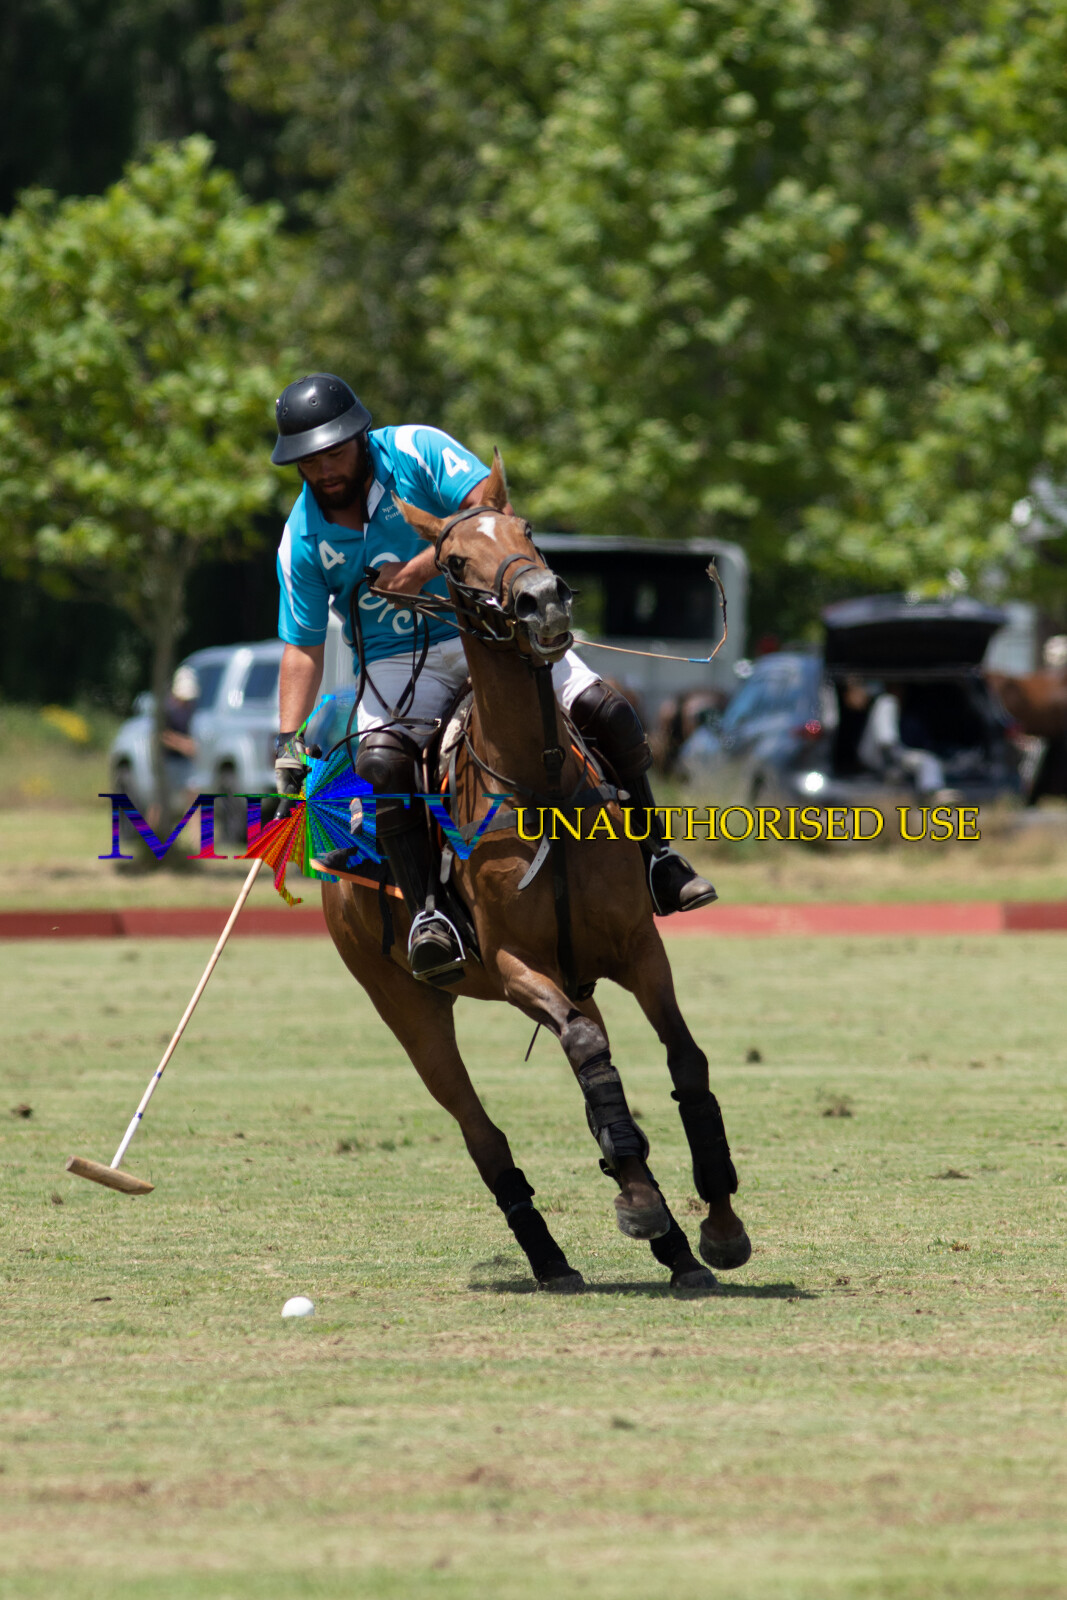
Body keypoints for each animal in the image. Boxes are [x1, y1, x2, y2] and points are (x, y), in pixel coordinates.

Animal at [321, 453, 751, 1293]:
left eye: (526, 530)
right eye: (454, 562)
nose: (543, 599)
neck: (539, 782)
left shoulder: (635, 949)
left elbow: (684, 1063)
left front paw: (716, 1225)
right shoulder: (516, 963)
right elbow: (588, 1057)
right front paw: (645, 1210)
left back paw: (673, 1248)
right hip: (403, 1001)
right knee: (481, 1128)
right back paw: (553, 1256)